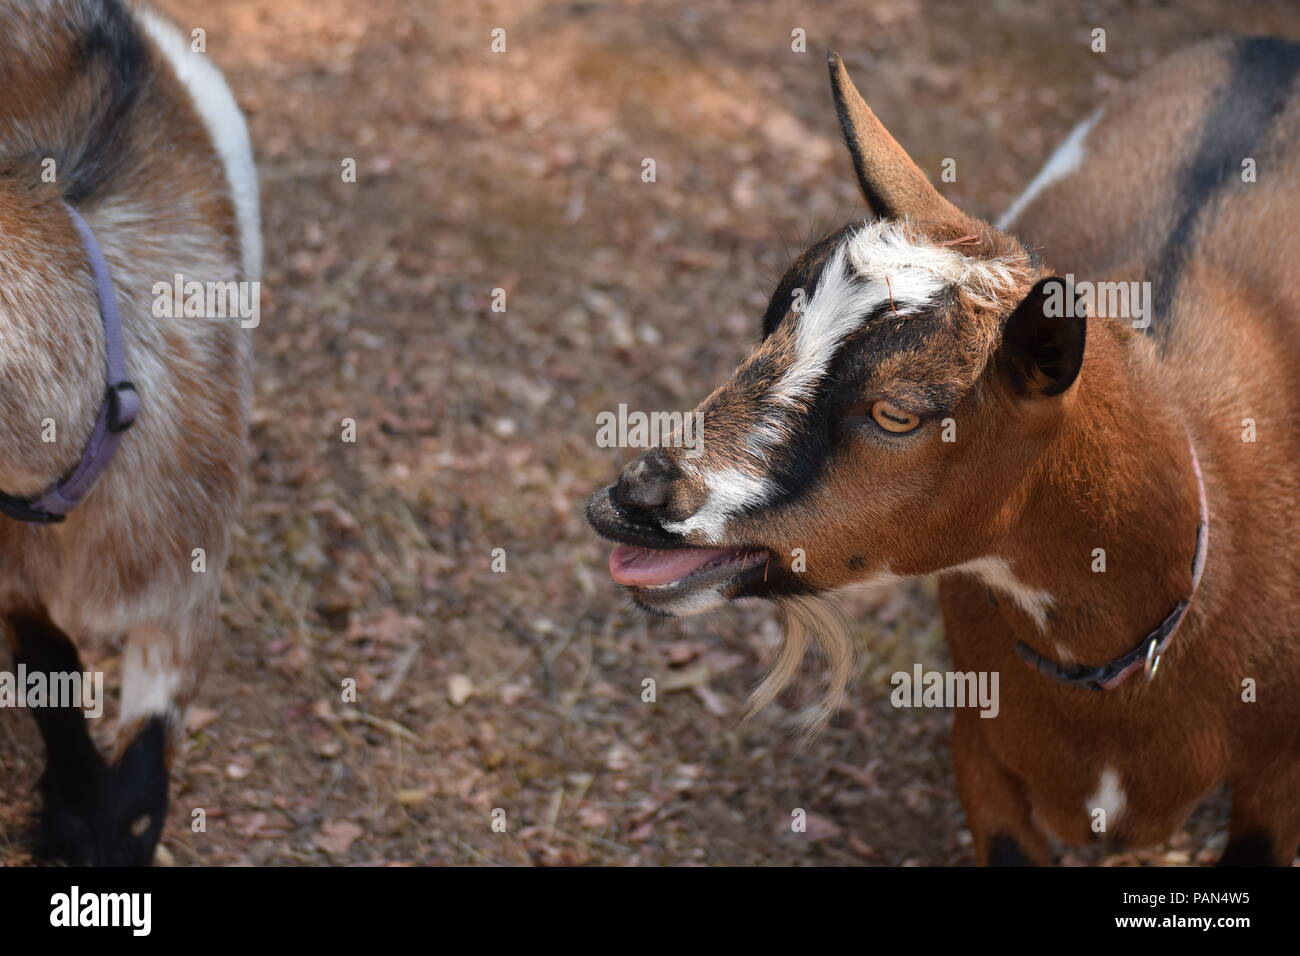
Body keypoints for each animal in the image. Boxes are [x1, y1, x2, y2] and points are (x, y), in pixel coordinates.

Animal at [587, 39, 1300, 866]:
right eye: (771, 322)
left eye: (897, 412)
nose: (635, 496)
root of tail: (1268, 49)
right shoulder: (979, 752)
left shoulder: (1276, 782)